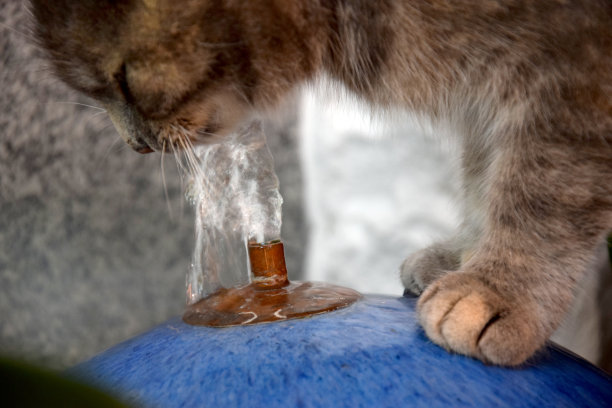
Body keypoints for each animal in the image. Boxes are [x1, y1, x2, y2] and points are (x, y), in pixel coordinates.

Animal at [31, 0, 608, 366]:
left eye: (123, 81)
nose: (136, 145)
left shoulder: (569, 70)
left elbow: (541, 190)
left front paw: (496, 288)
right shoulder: (489, 90)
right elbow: (482, 173)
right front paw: (464, 256)